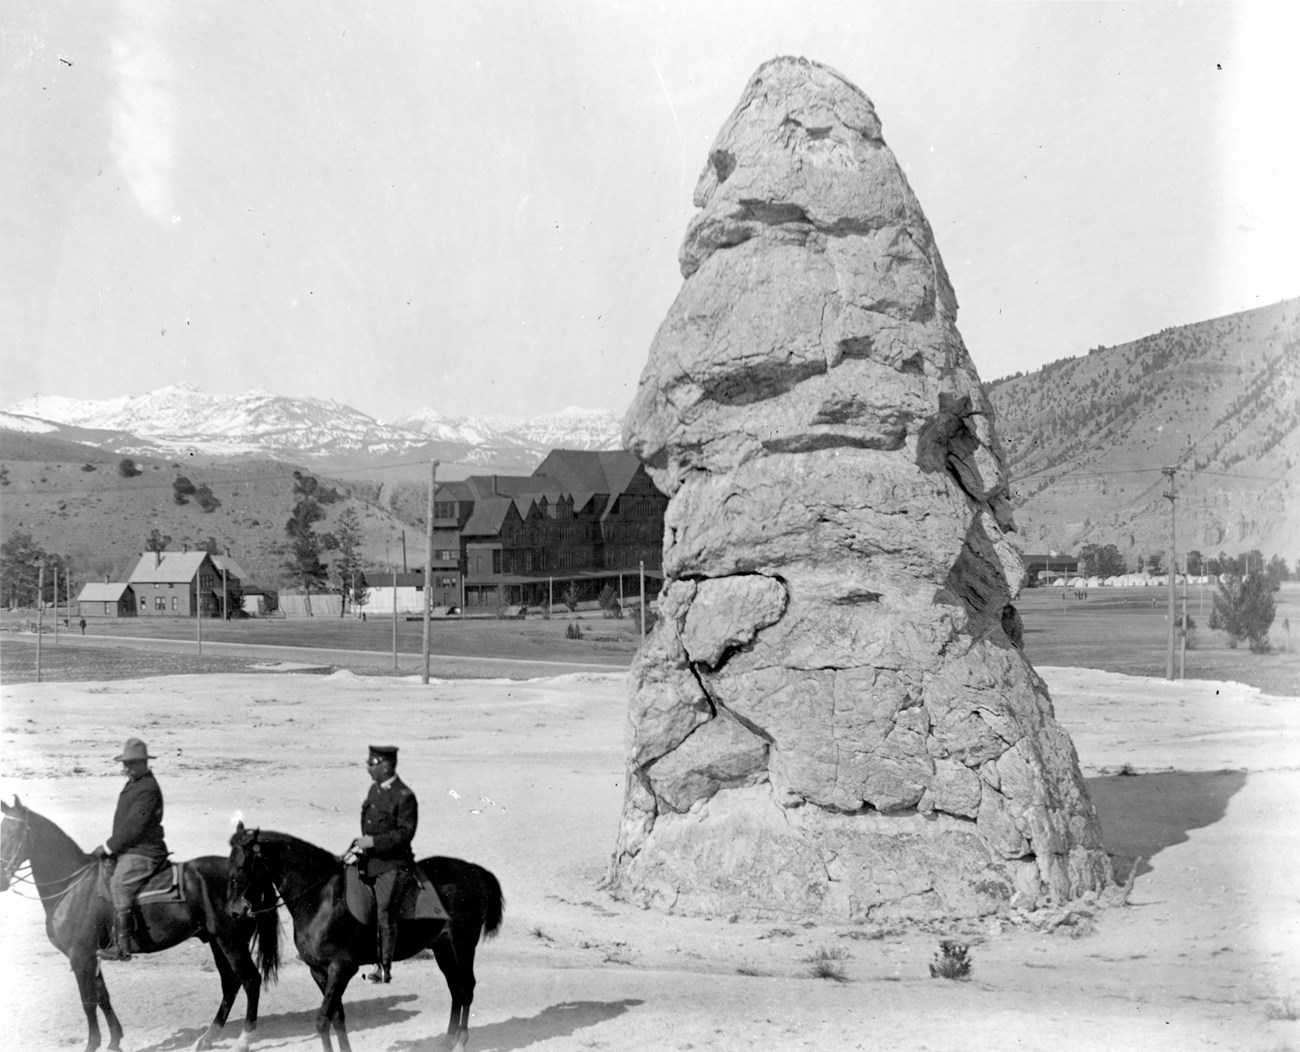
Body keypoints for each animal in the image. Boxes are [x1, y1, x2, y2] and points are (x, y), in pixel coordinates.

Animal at [3, 795, 279, 1050]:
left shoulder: (80, 957)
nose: (2, 879)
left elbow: (88, 1001)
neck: (72, 886)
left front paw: (93, 1044)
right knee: (231, 983)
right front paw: (114, 1041)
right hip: (217, 941)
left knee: (250, 980)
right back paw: (208, 1037)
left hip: (231, 940)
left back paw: (243, 1039)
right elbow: (103, 996)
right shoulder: (93, 956)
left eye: (11, 834)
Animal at [228, 821, 501, 1050]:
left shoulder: (342, 968)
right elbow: (337, 1018)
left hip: (462, 945)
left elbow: (322, 1021)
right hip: (443, 948)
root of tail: (474, 871)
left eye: (242, 866)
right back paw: (447, 1040)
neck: (321, 898)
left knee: (466, 989)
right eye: (229, 864)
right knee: (456, 990)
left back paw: (460, 1041)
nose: (234, 911)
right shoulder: (319, 971)